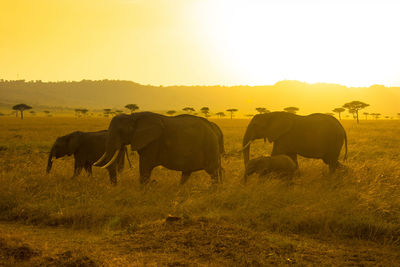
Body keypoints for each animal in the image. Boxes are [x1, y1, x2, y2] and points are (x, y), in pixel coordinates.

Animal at [95, 112, 223, 185]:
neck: (132, 117)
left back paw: (213, 191)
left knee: (213, 172)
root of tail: (213, 126)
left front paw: (143, 192)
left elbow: (145, 165)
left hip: (209, 146)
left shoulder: (152, 142)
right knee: (187, 173)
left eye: (120, 131)